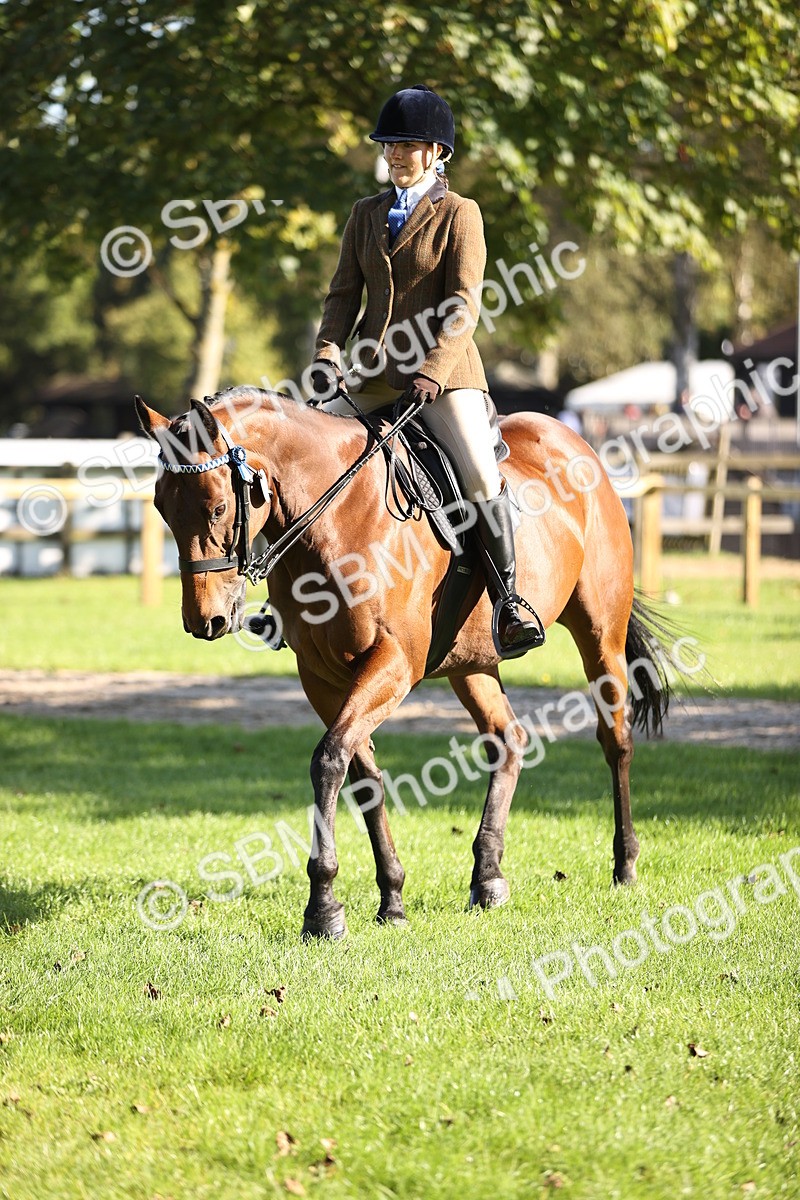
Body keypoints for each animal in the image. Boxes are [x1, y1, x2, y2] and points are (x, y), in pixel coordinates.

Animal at [135, 385, 670, 939]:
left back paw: (625, 865)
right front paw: (390, 898)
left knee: (615, 740)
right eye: (160, 506)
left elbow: (329, 759)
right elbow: (362, 775)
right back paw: (488, 878)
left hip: (600, 636)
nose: (205, 619)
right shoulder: (320, 676)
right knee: (508, 741)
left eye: (218, 506)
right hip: (472, 663)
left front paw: (322, 908)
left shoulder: (392, 663)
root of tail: (576, 442)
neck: (339, 518)